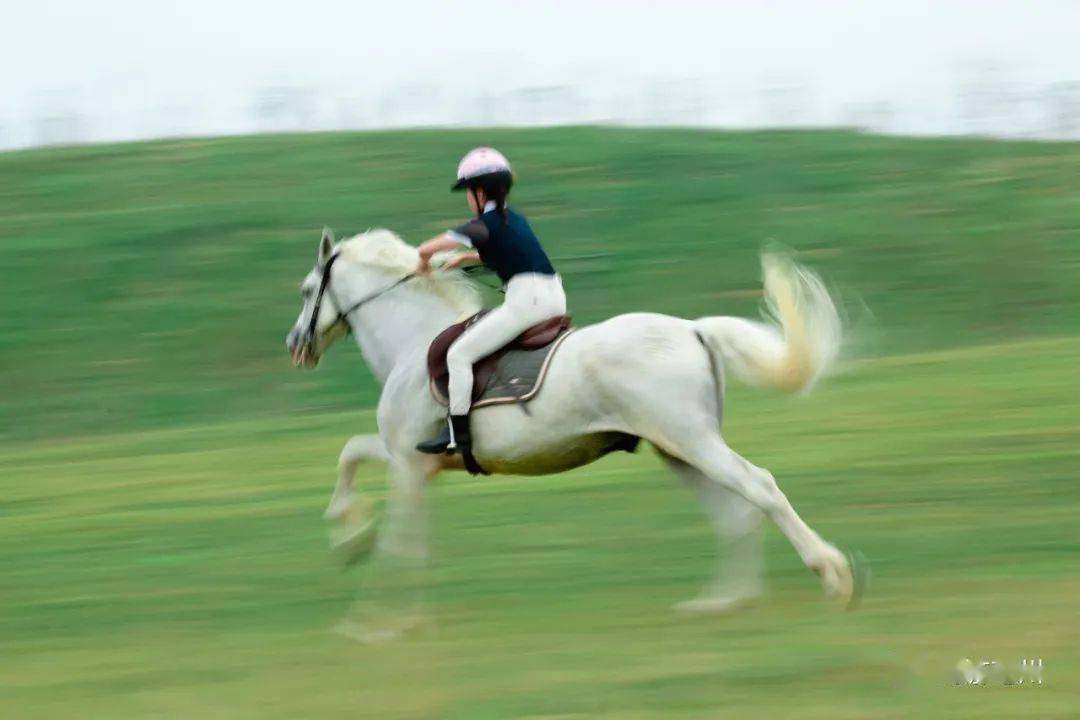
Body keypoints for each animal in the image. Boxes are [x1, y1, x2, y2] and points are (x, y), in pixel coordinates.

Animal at [289, 227, 859, 617]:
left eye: (306, 290)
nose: (296, 345)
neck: (412, 342)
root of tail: (694, 329)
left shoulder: (409, 463)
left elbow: (398, 535)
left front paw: (378, 615)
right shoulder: (411, 459)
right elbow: (353, 453)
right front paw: (350, 537)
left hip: (694, 443)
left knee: (759, 488)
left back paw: (831, 573)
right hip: (678, 450)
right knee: (734, 512)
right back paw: (724, 601)